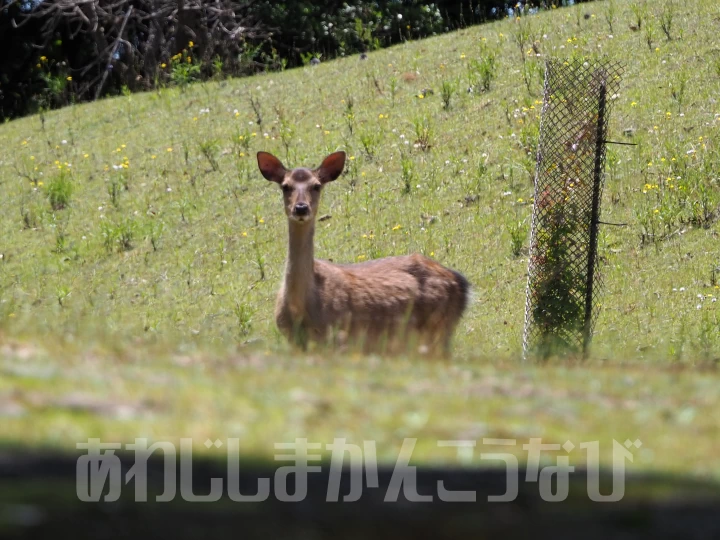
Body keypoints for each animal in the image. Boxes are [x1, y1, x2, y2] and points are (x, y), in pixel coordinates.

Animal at [256, 150, 470, 356]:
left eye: (316, 186)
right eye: (285, 186)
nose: (301, 208)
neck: (301, 309)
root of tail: (462, 284)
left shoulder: (339, 338)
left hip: (438, 330)